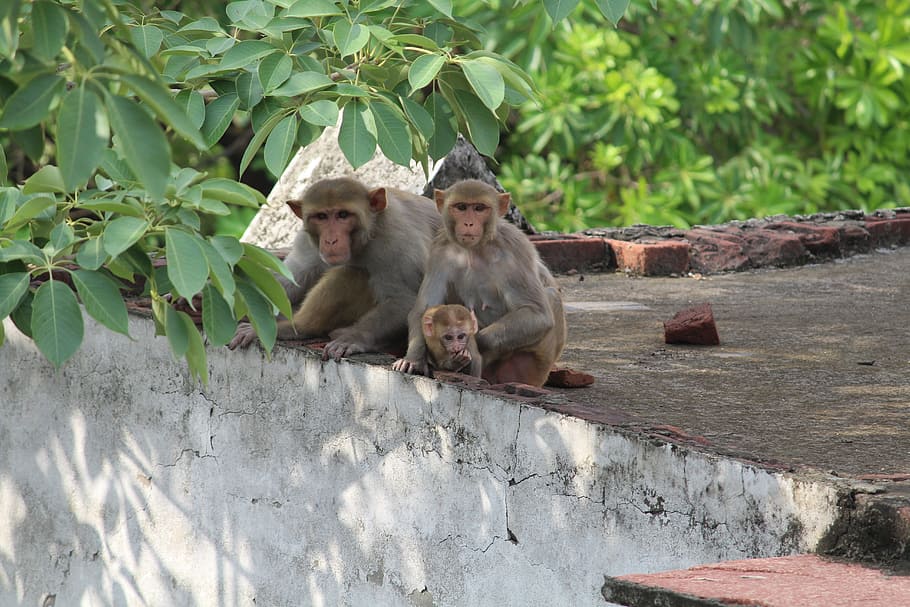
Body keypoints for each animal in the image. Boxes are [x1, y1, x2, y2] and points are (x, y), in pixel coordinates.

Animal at [229, 177, 441, 360]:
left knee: (352, 273)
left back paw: (298, 327)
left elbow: (405, 301)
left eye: (343, 215)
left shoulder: (398, 243)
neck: (369, 234)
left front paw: (354, 338)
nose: (331, 240)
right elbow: (290, 280)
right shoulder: (307, 240)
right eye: (321, 216)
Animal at [392, 179, 566, 387]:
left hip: (534, 366)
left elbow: (537, 314)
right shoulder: (441, 249)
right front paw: (413, 359)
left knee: (551, 295)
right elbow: (424, 308)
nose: (469, 223)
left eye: (479, 208)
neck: (474, 249)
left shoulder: (513, 248)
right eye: (461, 207)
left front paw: (468, 343)